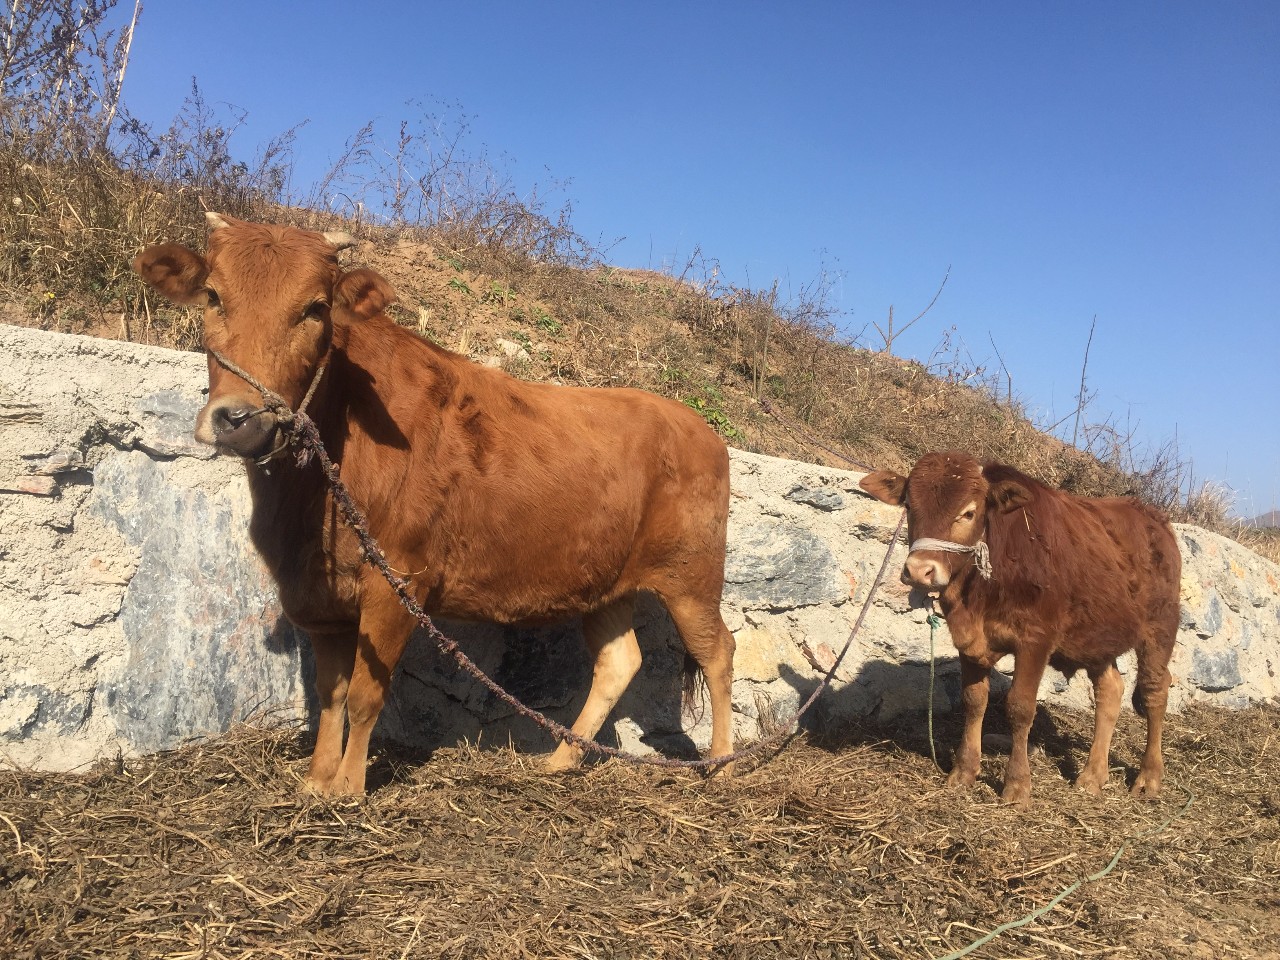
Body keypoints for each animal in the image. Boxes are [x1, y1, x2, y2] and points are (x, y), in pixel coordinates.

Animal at [133, 216, 737, 798]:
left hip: (692, 575)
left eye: (315, 308)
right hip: (604, 582)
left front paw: (348, 789)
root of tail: (696, 425)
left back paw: (720, 764)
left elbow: (364, 695)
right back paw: (560, 761)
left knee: (719, 651)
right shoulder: (320, 597)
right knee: (619, 662)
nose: (240, 419)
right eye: (212, 295)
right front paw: (316, 780)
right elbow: (330, 696)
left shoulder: (399, 578)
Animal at [860, 450, 1177, 803]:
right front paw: (964, 771)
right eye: (909, 505)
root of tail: (1153, 517)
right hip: (1097, 637)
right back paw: (1092, 776)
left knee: (1154, 691)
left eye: (968, 512)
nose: (919, 571)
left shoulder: (1035, 640)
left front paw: (1017, 786)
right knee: (1110, 690)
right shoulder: (968, 640)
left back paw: (1149, 777)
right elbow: (974, 701)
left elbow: (1020, 708)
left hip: (1160, 629)